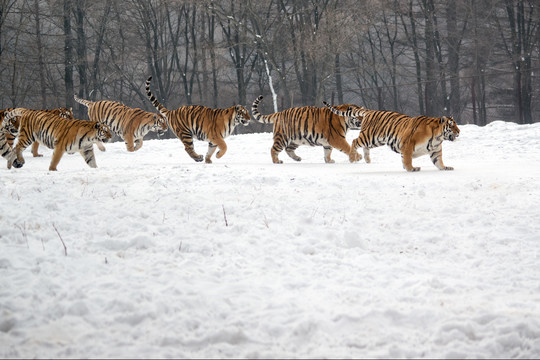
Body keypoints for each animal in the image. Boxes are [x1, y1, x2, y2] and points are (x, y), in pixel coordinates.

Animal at [324, 102, 460, 172]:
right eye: (451, 125)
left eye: (456, 124)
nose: (459, 131)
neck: (438, 137)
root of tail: (370, 111)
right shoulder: (408, 144)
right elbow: (408, 159)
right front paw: (411, 168)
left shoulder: (435, 151)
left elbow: (438, 162)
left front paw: (446, 167)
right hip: (369, 136)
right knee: (354, 141)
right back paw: (352, 158)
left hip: (375, 141)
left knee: (364, 147)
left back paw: (367, 160)